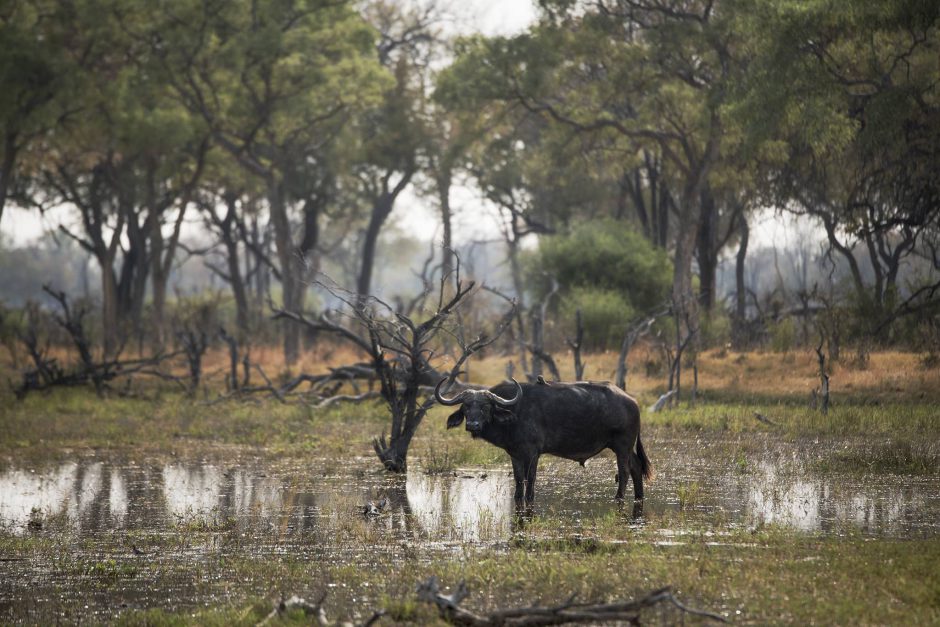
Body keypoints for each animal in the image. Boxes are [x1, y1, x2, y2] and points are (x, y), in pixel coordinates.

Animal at [436, 378, 648, 506]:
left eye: (486, 407)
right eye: (466, 407)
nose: (473, 425)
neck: (516, 413)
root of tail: (632, 402)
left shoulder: (533, 453)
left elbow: (531, 480)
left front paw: (529, 500)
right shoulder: (514, 454)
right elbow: (518, 479)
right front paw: (518, 498)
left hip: (622, 446)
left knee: (624, 472)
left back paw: (618, 498)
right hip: (626, 448)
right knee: (637, 467)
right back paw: (639, 497)